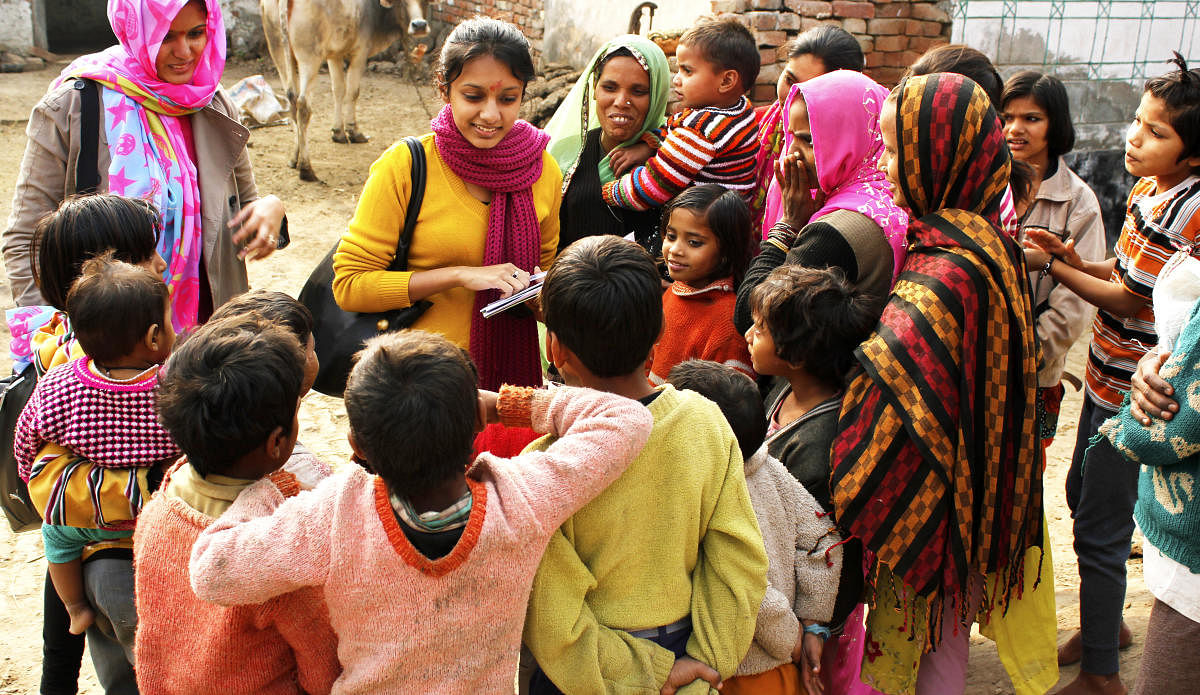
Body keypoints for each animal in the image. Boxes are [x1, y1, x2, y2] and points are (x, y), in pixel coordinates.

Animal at [262, 0, 432, 180]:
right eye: (402, 2)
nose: (419, 25)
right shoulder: (360, 53)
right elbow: (352, 92)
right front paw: (354, 131)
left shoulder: (334, 55)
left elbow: (338, 90)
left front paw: (338, 132)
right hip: (310, 58)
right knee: (303, 107)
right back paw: (306, 168)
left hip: (279, 53)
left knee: (292, 102)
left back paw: (295, 157)